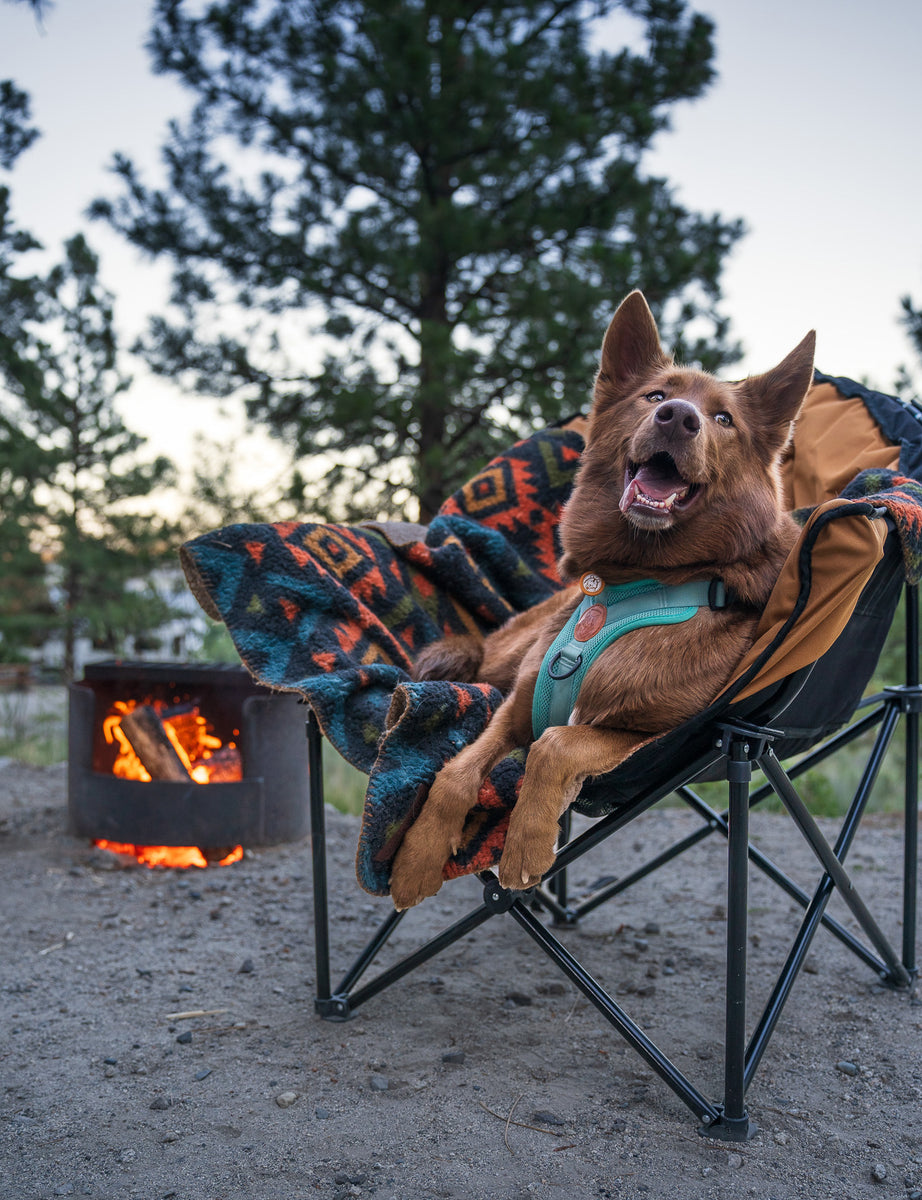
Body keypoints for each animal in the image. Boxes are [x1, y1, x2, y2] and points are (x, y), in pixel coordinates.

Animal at [388, 290, 816, 907]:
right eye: (655, 396)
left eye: (723, 419)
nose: (678, 417)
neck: (637, 578)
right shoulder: (514, 710)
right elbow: (455, 773)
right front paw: (416, 861)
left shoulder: (658, 735)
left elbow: (557, 742)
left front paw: (525, 845)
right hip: (503, 659)